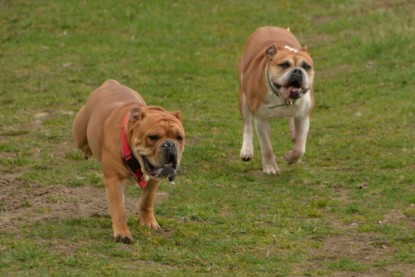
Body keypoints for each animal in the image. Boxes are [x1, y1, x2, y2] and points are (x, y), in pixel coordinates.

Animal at [72, 79, 186, 242]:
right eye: (152, 137)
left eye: (179, 137)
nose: (170, 144)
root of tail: (110, 82)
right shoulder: (114, 180)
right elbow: (119, 209)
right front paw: (122, 233)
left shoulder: (153, 181)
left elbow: (146, 201)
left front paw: (148, 222)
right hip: (80, 133)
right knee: (83, 142)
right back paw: (87, 150)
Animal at [239, 25, 314, 172]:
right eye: (284, 65)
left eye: (306, 66)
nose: (297, 71)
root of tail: (268, 26)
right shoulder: (260, 119)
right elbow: (266, 146)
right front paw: (270, 167)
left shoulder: (303, 116)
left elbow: (300, 148)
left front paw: (291, 158)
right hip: (243, 100)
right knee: (247, 126)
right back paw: (247, 150)